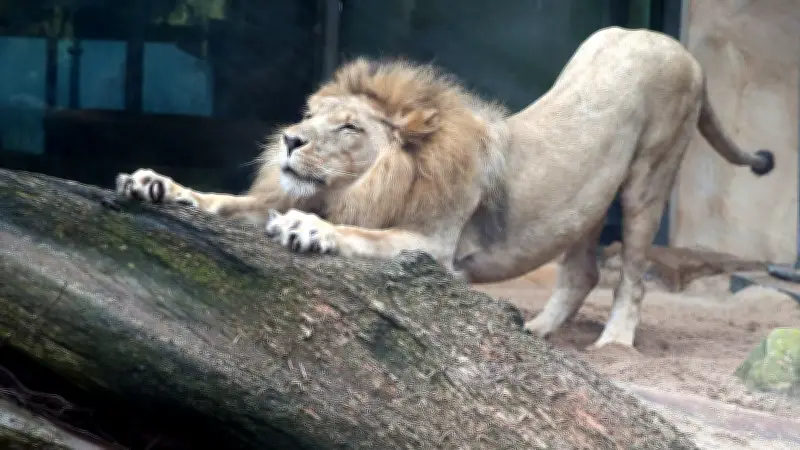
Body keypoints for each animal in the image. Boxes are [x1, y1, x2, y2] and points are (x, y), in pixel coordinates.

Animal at [115, 27, 775, 349]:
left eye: (349, 126)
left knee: (632, 275)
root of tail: (672, 43)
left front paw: (309, 229)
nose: (290, 140)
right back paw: (537, 332)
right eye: (310, 113)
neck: (362, 186)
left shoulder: (433, 246)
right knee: (582, 270)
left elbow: (359, 235)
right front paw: (154, 184)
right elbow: (225, 203)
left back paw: (613, 343)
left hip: (649, 176)